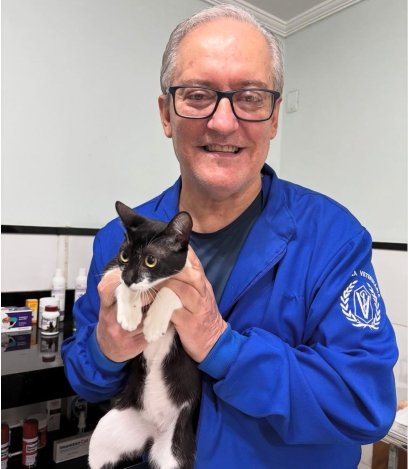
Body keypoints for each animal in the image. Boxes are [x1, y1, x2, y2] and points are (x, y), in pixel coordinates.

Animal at [88, 201, 201, 469]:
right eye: (124, 256)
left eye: (151, 260)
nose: (130, 278)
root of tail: (153, 429)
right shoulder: (112, 268)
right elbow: (115, 279)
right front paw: (130, 312)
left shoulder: (192, 283)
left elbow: (173, 290)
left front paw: (153, 324)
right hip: (107, 433)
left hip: (176, 449)